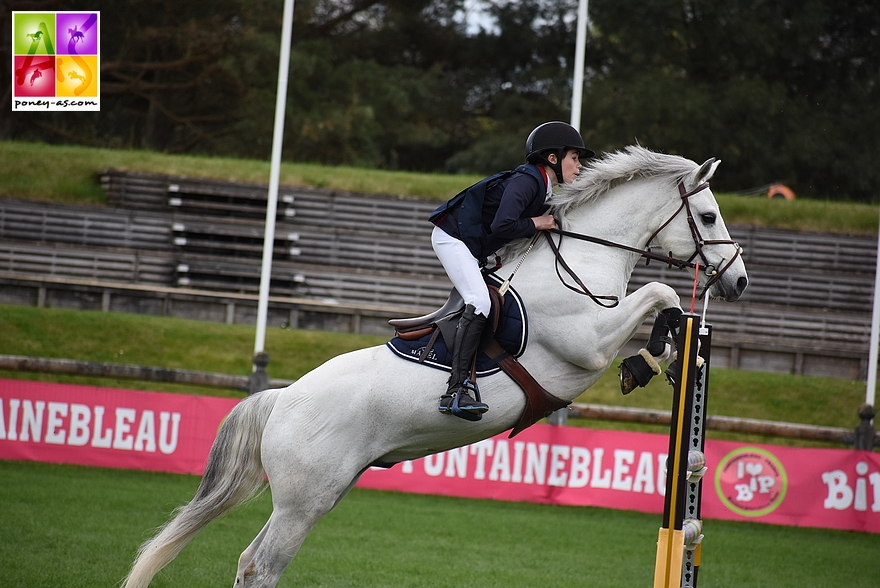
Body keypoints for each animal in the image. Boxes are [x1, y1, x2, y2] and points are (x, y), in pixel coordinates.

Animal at [124, 145, 744, 584]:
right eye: (709, 216)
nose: (738, 282)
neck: (582, 258)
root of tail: (280, 399)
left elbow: (667, 301)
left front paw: (664, 354)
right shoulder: (587, 343)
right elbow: (663, 292)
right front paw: (646, 360)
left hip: (324, 491)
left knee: (253, 563)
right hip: (304, 499)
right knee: (260, 566)